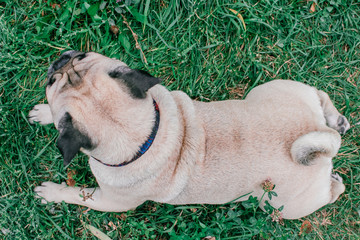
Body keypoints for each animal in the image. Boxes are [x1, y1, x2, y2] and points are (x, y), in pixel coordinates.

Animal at [29, 50, 350, 219]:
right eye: (80, 54)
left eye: (51, 82)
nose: (61, 59)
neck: (147, 135)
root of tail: (323, 144)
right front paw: (44, 113)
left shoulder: (111, 201)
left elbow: (77, 194)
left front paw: (52, 192)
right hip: (277, 90)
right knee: (321, 97)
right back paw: (339, 121)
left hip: (282, 204)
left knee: (334, 190)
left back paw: (336, 181)